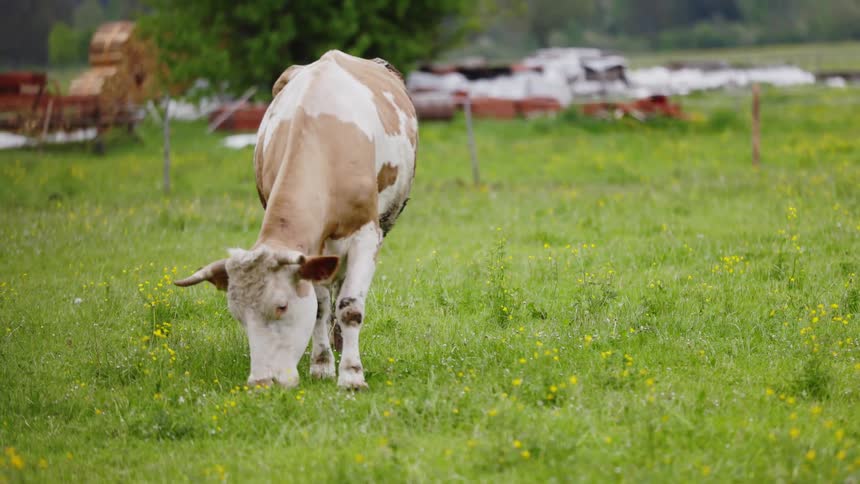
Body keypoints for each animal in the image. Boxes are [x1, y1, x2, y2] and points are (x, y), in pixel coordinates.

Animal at [174, 50, 417, 390]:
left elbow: (351, 306)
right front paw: (321, 366)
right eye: (237, 315)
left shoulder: (366, 235)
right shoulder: (310, 251)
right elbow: (319, 307)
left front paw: (352, 375)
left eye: (281, 306)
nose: (261, 381)